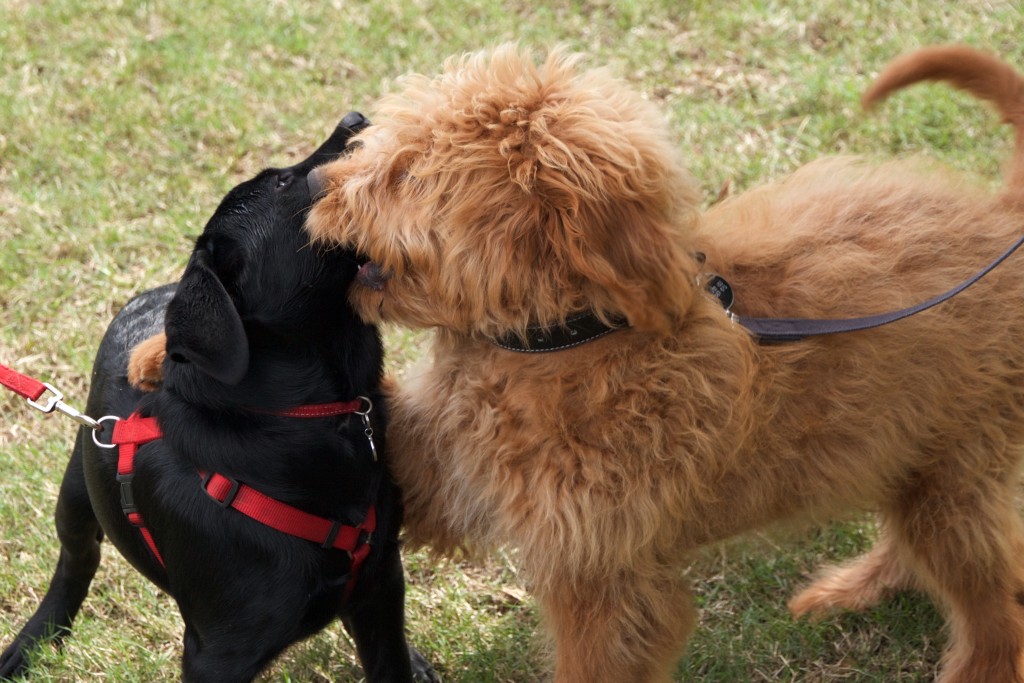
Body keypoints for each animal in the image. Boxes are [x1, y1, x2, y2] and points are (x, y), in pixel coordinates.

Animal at [0, 114, 436, 679]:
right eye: (283, 183)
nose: (354, 119)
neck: (299, 417)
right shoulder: (217, 654)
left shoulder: (381, 583)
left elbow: (389, 661)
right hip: (77, 489)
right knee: (76, 559)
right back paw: (35, 638)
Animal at [136, 45, 1024, 679]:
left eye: (408, 174)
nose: (320, 186)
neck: (558, 339)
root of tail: (1000, 216)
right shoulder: (446, 466)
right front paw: (152, 351)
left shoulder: (602, 578)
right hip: (914, 457)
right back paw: (855, 585)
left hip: (954, 477)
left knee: (995, 610)